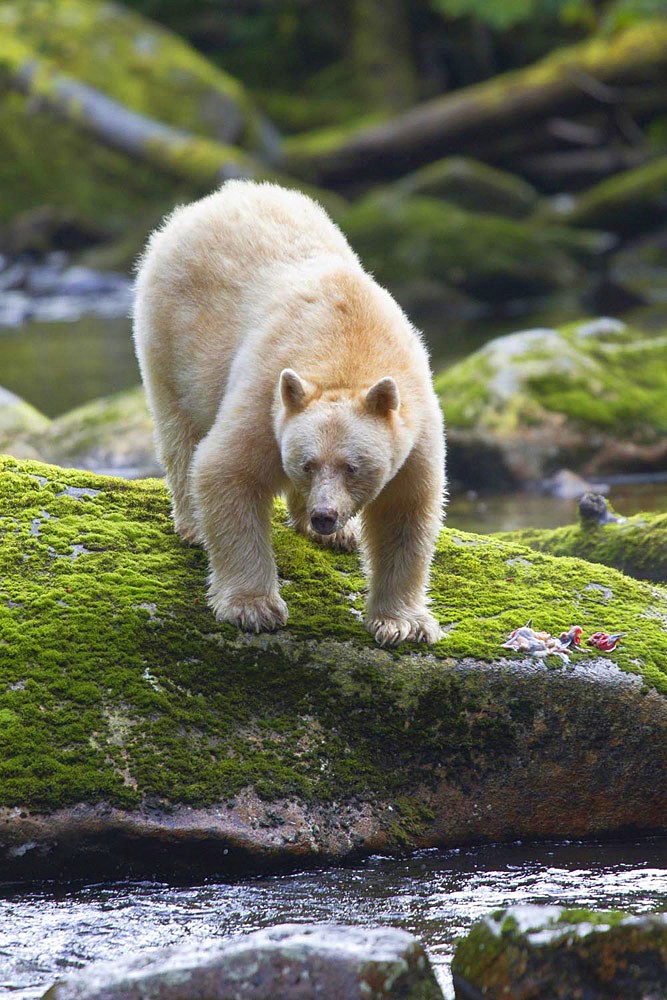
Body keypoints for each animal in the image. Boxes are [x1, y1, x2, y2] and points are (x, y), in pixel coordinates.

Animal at [133, 181, 446, 648]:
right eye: (306, 463)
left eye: (353, 466)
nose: (325, 516)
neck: (350, 348)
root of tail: (211, 200)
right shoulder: (266, 397)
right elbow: (226, 469)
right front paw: (254, 607)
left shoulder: (415, 422)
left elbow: (406, 511)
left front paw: (403, 623)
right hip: (171, 337)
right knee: (180, 430)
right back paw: (194, 524)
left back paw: (336, 534)